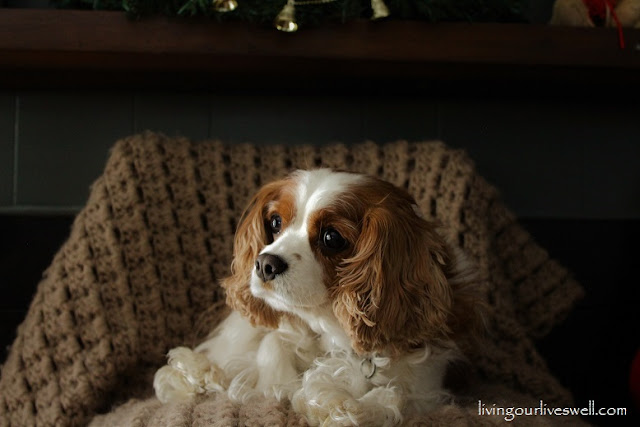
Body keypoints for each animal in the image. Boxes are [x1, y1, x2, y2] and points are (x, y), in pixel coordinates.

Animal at [154, 169, 480, 426]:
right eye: (275, 222)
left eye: (331, 238)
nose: (264, 264)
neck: (332, 327)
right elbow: (270, 345)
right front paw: (270, 385)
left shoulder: (426, 386)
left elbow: (398, 396)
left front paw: (343, 406)